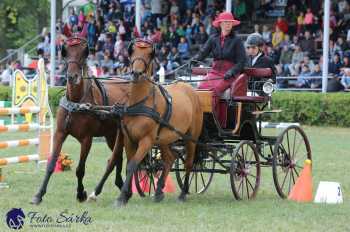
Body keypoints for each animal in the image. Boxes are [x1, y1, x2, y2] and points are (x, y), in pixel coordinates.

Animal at [31, 36, 129, 205]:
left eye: (83, 55)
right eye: (65, 54)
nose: (72, 77)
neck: (76, 102)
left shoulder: (86, 139)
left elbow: (80, 169)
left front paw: (80, 193)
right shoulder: (60, 134)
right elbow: (51, 164)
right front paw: (39, 195)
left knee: (118, 157)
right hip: (111, 135)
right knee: (117, 157)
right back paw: (120, 183)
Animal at [109, 38, 204, 207]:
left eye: (149, 55)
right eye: (132, 52)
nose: (136, 73)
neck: (141, 102)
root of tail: (190, 88)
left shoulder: (146, 141)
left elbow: (133, 165)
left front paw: (121, 198)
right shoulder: (129, 140)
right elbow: (129, 165)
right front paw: (126, 195)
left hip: (190, 138)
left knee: (189, 163)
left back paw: (183, 193)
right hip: (164, 139)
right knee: (169, 159)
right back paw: (159, 191)